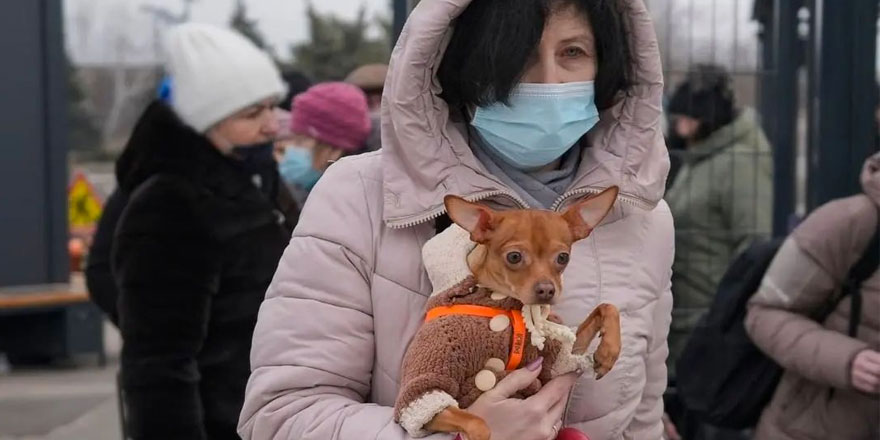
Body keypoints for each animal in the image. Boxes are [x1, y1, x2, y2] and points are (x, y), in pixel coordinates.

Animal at [424, 186, 620, 440]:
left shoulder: (558, 360)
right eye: (514, 256)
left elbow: (607, 307)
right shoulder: (429, 389)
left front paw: (608, 352)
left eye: (563, 257)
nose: (547, 290)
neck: (501, 300)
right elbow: (478, 423)